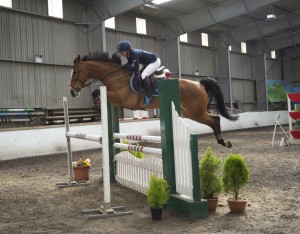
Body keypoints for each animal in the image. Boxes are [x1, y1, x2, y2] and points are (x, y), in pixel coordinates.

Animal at [69, 51, 238, 147]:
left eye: (75, 72)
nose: (72, 91)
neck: (114, 75)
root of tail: (199, 84)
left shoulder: (121, 97)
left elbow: (98, 91)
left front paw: (97, 106)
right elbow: (96, 92)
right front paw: (97, 106)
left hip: (195, 112)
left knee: (215, 120)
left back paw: (223, 142)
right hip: (190, 112)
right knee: (214, 119)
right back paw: (223, 141)